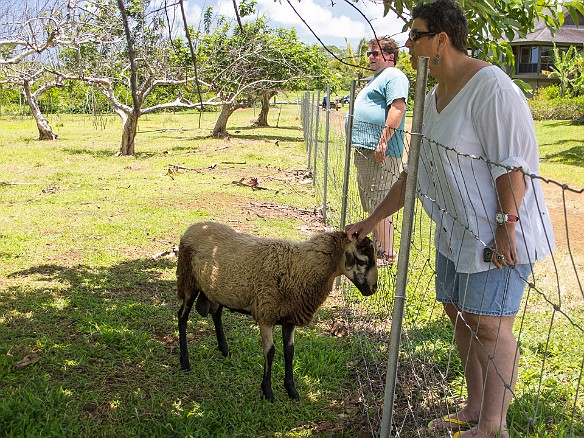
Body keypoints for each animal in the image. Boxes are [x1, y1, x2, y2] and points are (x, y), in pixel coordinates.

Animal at [178, 221, 378, 402]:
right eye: (362, 261)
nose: (373, 289)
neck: (300, 268)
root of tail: (194, 226)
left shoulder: (289, 318)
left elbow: (289, 351)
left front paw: (292, 390)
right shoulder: (266, 314)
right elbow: (270, 352)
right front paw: (267, 391)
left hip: (217, 289)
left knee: (216, 313)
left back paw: (225, 350)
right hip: (188, 280)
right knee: (182, 316)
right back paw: (185, 362)